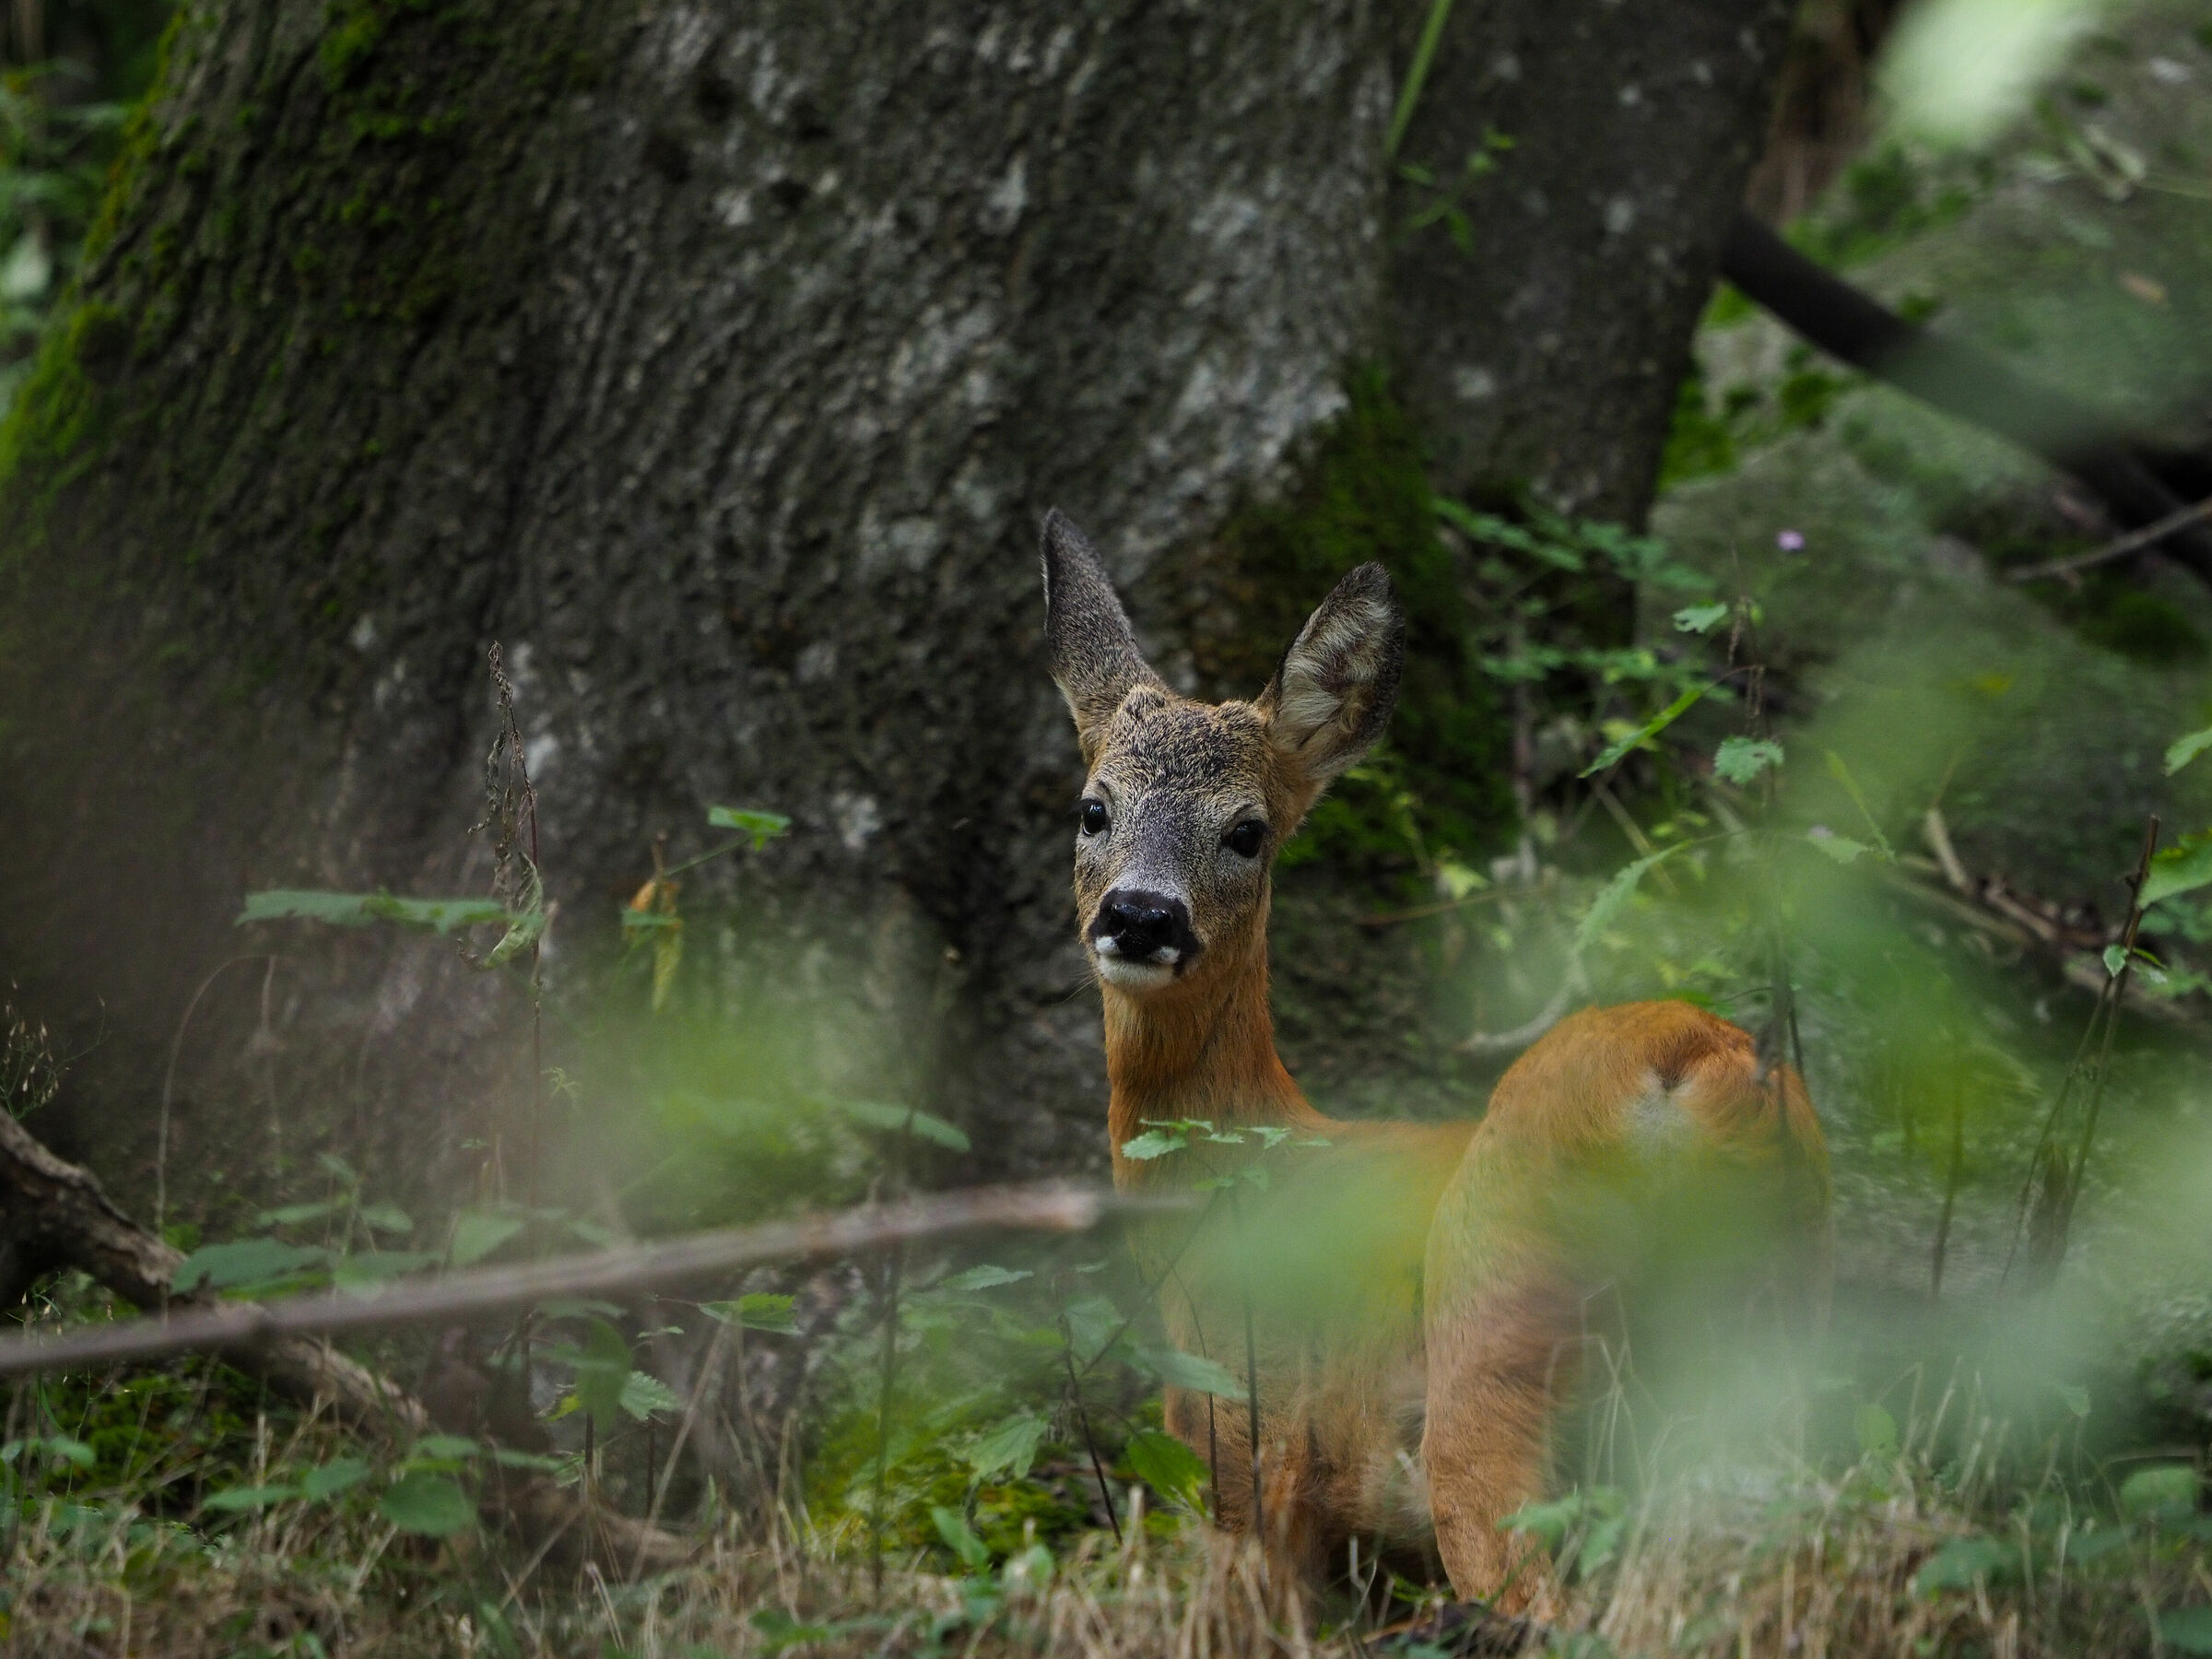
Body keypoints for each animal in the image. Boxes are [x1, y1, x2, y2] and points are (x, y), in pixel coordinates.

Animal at [1039, 508, 1830, 1611]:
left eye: (1248, 831)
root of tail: (1681, 1059)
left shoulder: (1248, 1446)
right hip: (1786, 1308)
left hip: (1493, 1308)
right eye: (1093, 808)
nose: (1143, 916)